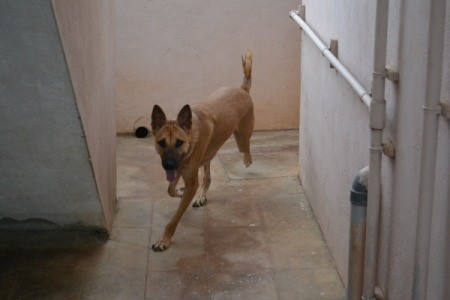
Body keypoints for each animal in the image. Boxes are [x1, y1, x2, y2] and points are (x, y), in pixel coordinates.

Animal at [151, 51, 255, 251]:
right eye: (161, 143)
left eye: (179, 142)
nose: (168, 165)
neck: (191, 137)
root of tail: (242, 89)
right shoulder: (181, 168)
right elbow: (170, 189)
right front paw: (179, 191)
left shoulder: (190, 178)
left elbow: (174, 218)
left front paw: (164, 239)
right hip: (210, 152)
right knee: (207, 175)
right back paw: (201, 195)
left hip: (241, 139)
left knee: (246, 149)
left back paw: (247, 160)